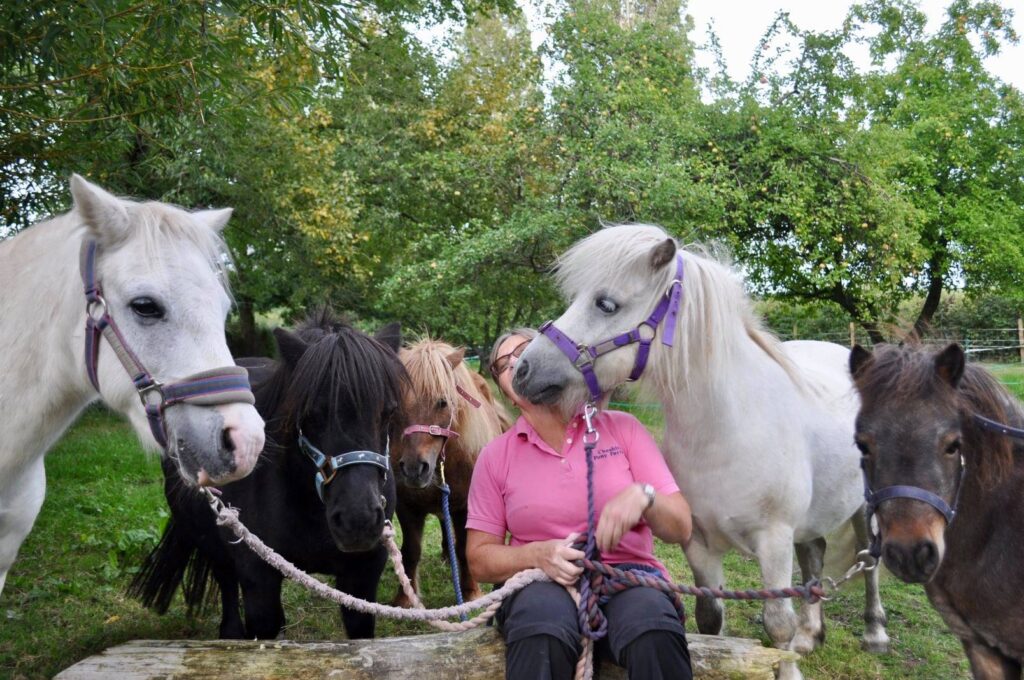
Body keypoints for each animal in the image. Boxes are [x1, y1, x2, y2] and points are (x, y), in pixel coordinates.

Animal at [132, 311, 407, 639]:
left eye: (388, 412)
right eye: (308, 414)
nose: (359, 521)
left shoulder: (362, 577)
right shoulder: (258, 578)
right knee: (225, 582)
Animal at [391, 340, 507, 606]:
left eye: (443, 402)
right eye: (397, 405)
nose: (413, 469)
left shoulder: (466, 507)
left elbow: (464, 548)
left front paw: (471, 592)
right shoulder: (406, 506)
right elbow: (410, 551)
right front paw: (405, 599)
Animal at [516, 225, 892, 675]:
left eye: (606, 303)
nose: (523, 370)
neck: (727, 431)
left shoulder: (774, 541)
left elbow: (777, 622)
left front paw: (788, 668)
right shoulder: (698, 543)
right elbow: (710, 618)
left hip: (864, 507)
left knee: (869, 563)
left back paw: (875, 633)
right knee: (814, 556)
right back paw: (810, 635)